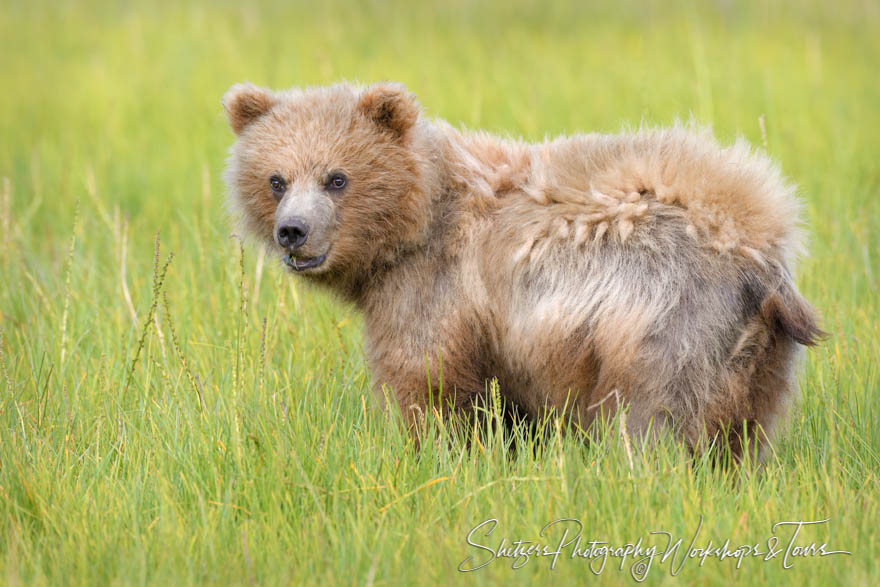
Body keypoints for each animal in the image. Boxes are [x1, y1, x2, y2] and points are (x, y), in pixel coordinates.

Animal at [222, 81, 824, 460]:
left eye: (336, 178)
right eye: (276, 179)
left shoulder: (438, 288)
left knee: (654, 416)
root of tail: (762, 252)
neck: (416, 222)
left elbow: (427, 383)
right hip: (759, 356)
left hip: (665, 321)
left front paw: (429, 452)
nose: (293, 231)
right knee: (745, 429)